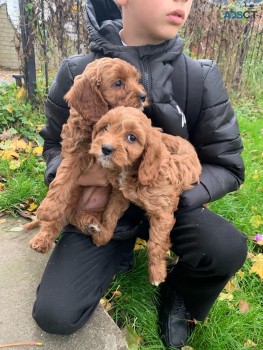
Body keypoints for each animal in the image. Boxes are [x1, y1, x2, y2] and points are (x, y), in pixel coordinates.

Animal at [25, 58, 147, 253]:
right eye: (118, 83)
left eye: (136, 79)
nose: (143, 96)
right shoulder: (74, 153)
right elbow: (62, 181)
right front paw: (47, 209)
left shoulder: (121, 181)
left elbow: (113, 211)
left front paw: (104, 236)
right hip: (69, 201)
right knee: (54, 222)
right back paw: (41, 240)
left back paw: (93, 226)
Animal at [88, 106, 202, 284]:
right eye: (105, 127)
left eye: (132, 137)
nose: (105, 148)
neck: (133, 171)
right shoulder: (120, 195)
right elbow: (110, 214)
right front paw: (103, 235)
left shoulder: (163, 213)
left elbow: (155, 243)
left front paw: (157, 273)